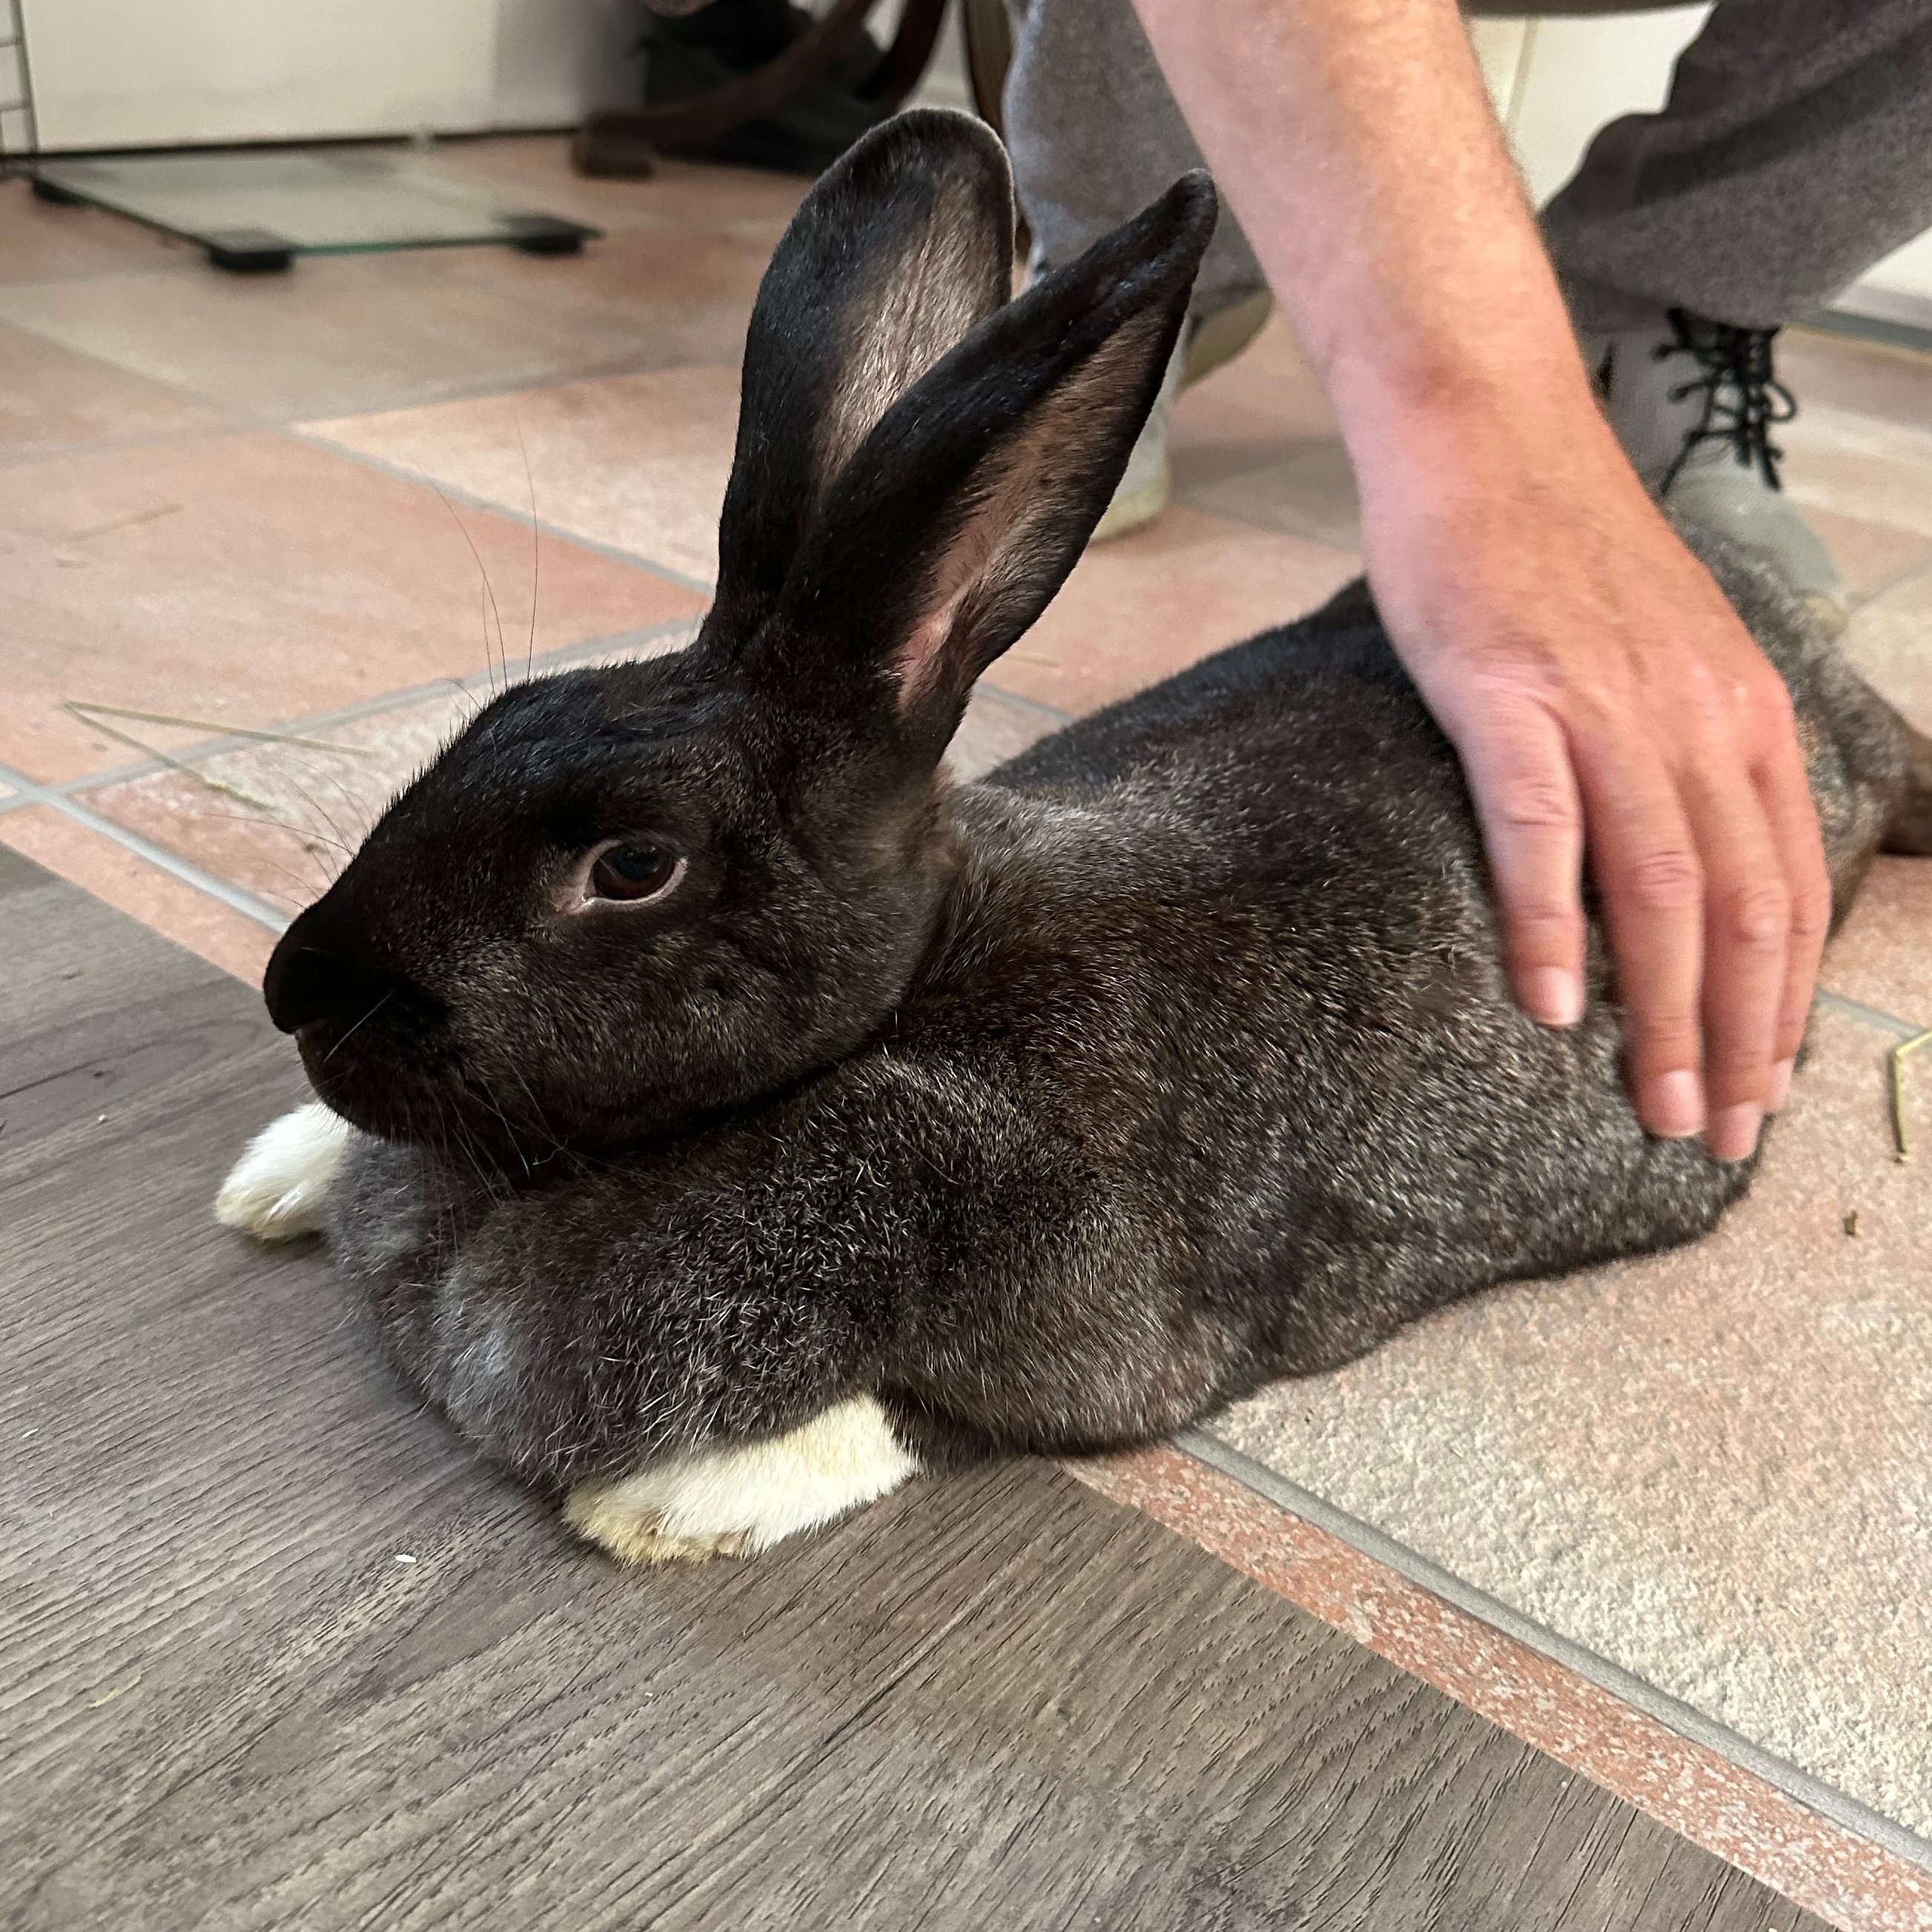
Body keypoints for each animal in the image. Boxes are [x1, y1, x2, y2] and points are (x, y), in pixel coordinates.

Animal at [217, 108, 1931, 1566]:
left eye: (632, 865)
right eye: (485, 729)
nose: (297, 988)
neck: (912, 993)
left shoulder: (1104, 1335)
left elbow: (911, 1416)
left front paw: (676, 1503)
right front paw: (278, 1177)